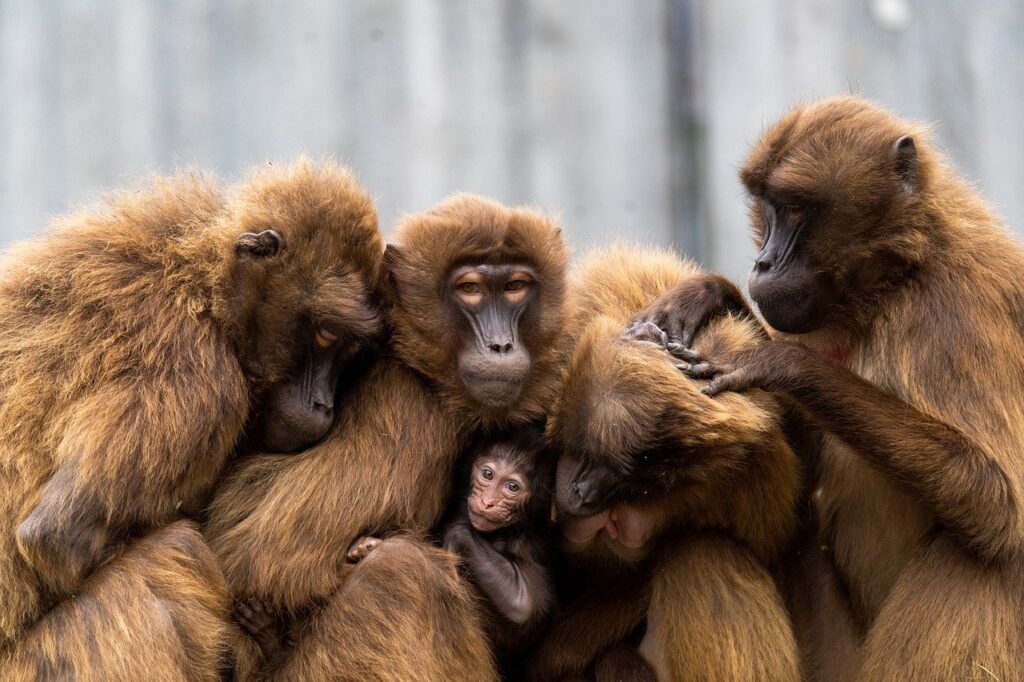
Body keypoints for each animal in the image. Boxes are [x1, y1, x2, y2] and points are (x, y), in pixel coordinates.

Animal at [0, 156, 385, 675]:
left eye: (349, 351)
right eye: (326, 335)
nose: (323, 403)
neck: (202, 286)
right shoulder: (198, 382)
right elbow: (55, 538)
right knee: (176, 551)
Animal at [438, 425, 552, 659]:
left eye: (512, 487)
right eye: (488, 474)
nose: (487, 502)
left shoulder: (523, 542)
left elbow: (523, 604)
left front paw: (455, 536)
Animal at [667, 94, 1024, 675]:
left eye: (794, 209)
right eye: (767, 207)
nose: (763, 263)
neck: (900, 276)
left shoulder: (961, 311)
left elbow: (995, 499)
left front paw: (780, 362)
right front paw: (709, 295)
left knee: (984, 549)